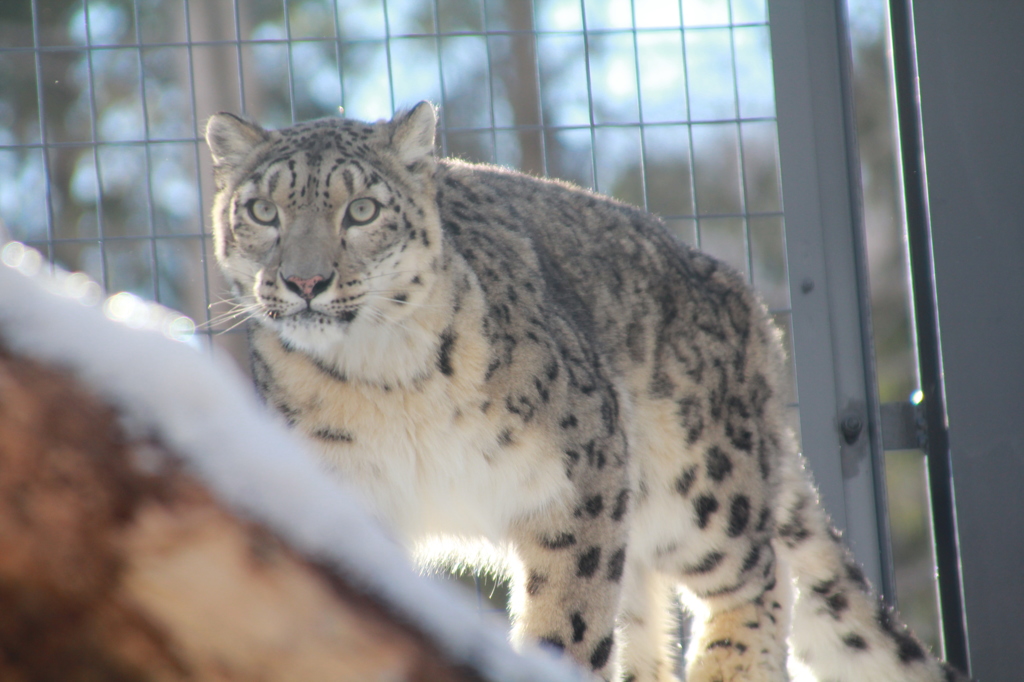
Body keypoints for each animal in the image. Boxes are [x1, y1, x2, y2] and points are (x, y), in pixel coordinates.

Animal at [205, 102, 966, 679]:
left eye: (361, 209)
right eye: (263, 211)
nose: (306, 281)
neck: (382, 380)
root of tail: (748, 307)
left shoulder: (577, 478)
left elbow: (569, 616)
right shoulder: (347, 495)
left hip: (698, 481)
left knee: (759, 569)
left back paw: (728, 666)